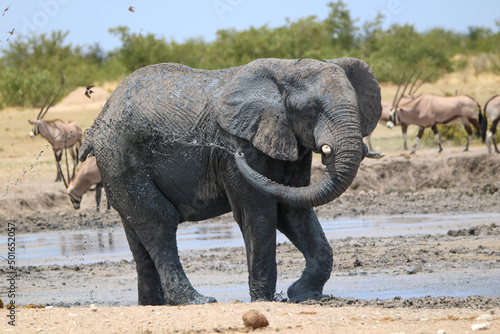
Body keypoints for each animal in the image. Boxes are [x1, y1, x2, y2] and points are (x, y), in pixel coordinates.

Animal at [79, 57, 382, 306]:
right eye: (310, 110)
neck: (286, 69)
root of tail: (97, 123)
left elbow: (293, 209)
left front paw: (304, 295)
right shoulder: (236, 145)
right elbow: (258, 213)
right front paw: (265, 301)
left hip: (117, 166)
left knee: (137, 231)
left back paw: (153, 305)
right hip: (121, 158)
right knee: (159, 222)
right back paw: (197, 301)